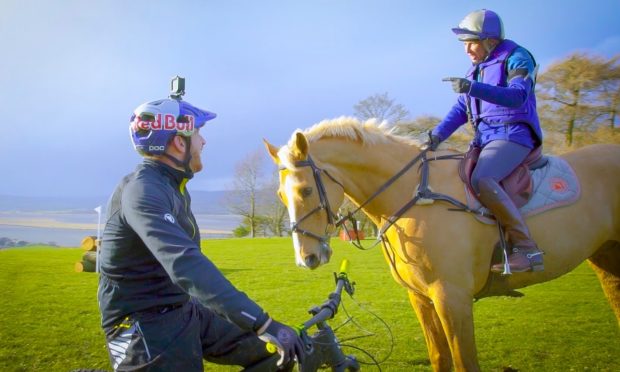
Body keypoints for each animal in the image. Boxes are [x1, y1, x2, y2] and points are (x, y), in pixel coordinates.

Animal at [264, 117, 620, 372]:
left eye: (306, 191)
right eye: (280, 195)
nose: (307, 258)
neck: (414, 195)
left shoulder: (452, 298)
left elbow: (464, 363)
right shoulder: (422, 298)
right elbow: (440, 358)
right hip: (606, 259)